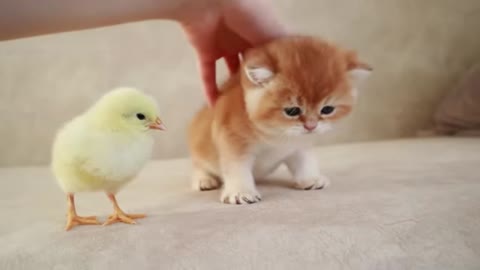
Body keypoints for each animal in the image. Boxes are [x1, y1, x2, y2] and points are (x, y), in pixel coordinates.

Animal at [188, 36, 372, 205]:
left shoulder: (298, 144)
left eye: (327, 109)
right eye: (292, 111)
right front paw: (241, 191)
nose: (311, 126)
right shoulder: (232, 140)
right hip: (199, 147)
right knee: (199, 164)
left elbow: (305, 160)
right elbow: (237, 168)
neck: (275, 132)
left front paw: (310, 178)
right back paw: (204, 179)